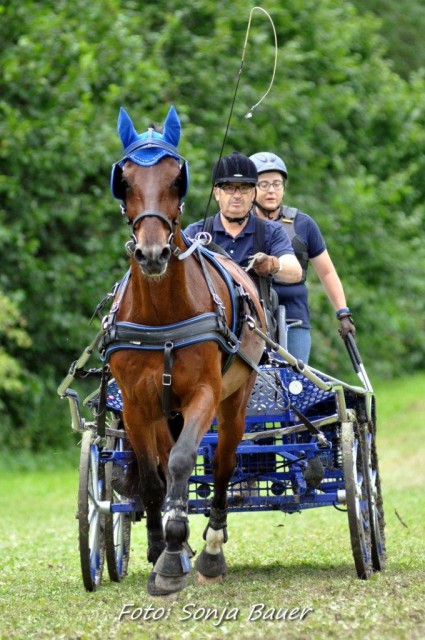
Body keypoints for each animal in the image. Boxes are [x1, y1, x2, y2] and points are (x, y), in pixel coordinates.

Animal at [102, 105, 264, 596]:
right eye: (125, 180)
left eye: (177, 178)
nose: (152, 254)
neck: (161, 313)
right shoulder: (136, 405)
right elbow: (155, 480)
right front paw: (162, 549)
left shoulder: (204, 395)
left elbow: (181, 462)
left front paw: (176, 556)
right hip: (161, 411)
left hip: (234, 400)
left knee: (224, 464)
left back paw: (210, 548)